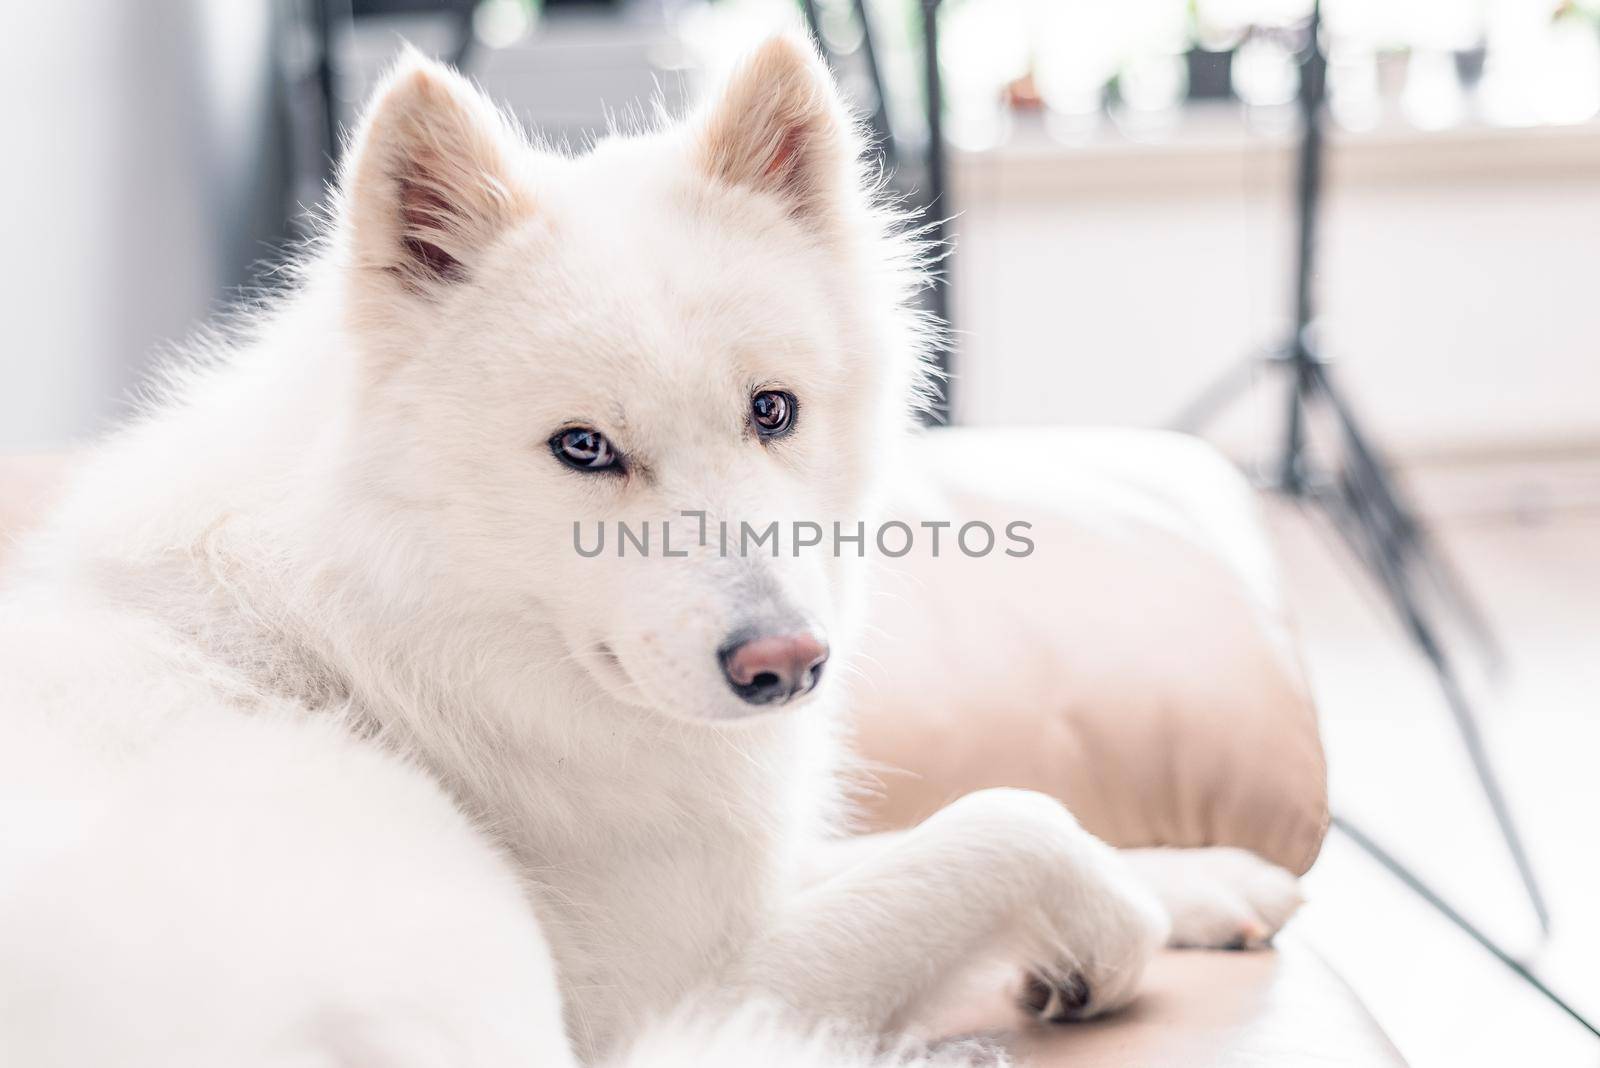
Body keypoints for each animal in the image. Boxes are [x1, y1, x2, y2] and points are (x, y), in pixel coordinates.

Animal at [0, 33, 1299, 1068]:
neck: (387, 641)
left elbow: (952, 830)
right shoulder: (677, 989)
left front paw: (1203, 875)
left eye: (771, 411)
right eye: (583, 448)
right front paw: (1114, 932)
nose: (788, 667)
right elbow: (1004, 819)